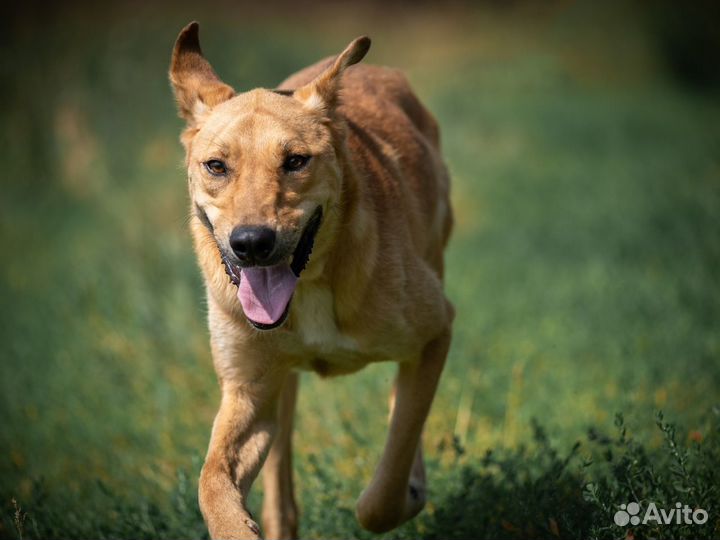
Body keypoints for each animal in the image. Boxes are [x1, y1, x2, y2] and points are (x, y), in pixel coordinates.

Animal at [167, 22, 456, 540]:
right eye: (216, 166)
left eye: (296, 161)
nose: (251, 242)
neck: (313, 286)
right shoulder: (247, 391)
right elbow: (211, 481)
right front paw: (237, 526)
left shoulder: (436, 332)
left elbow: (385, 484)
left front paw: (409, 491)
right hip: (278, 388)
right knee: (280, 481)